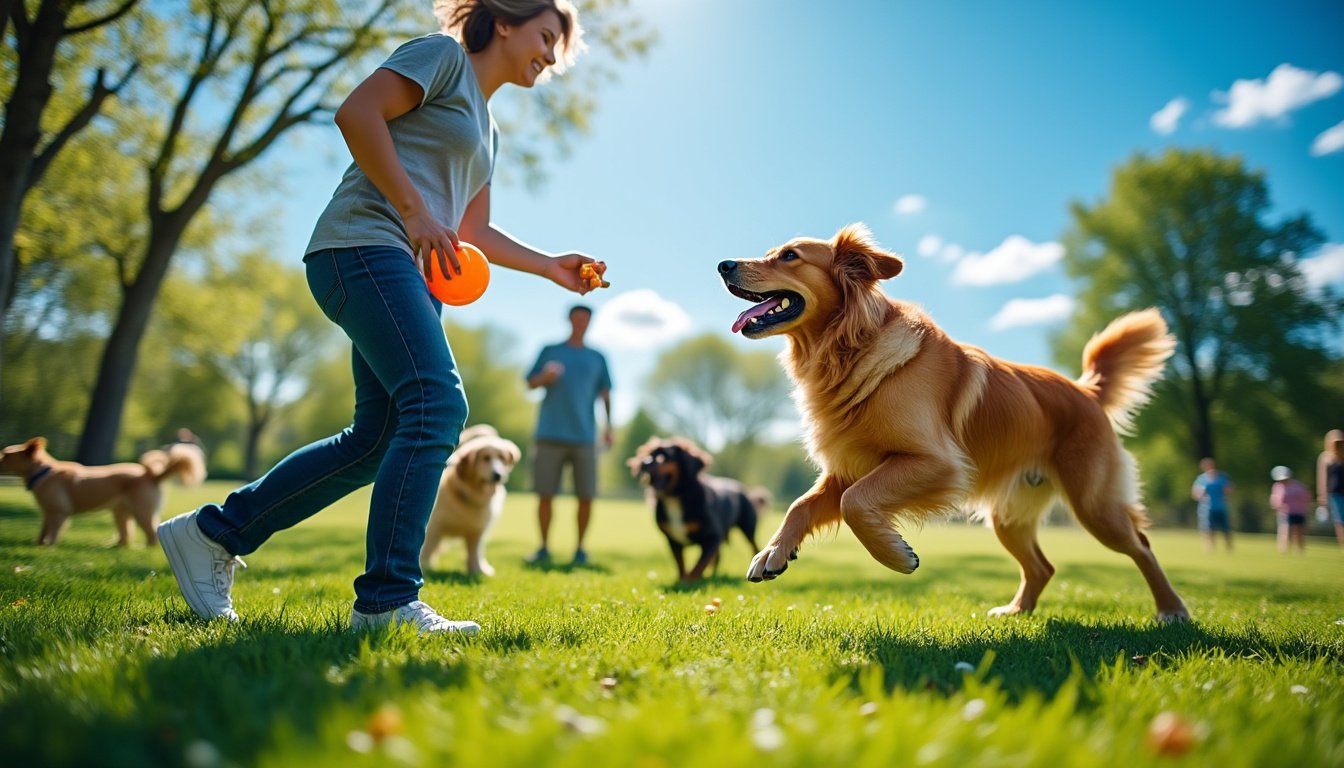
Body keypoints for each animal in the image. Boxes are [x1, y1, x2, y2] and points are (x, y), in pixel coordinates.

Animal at [0, 438, 206, 546]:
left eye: (6, 455)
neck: (44, 471)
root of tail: (151, 474)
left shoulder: (59, 512)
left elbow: (53, 531)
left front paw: (48, 546)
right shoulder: (47, 512)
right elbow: (43, 530)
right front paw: (38, 544)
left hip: (142, 512)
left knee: (151, 533)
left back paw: (147, 547)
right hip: (121, 513)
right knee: (126, 535)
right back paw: (115, 546)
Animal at [422, 427, 521, 575]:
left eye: (502, 458)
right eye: (485, 458)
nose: (498, 475)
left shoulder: (477, 530)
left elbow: (475, 552)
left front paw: (477, 570)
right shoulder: (435, 526)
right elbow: (428, 547)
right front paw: (425, 566)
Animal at [623, 438, 763, 583]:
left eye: (664, 457)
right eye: (650, 454)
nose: (644, 463)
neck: (675, 497)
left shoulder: (712, 536)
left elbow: (700, 563)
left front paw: (691, 580)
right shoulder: (673, 540)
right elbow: (680, 561)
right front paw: (682, 579)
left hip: (748, 528)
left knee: (754, 547)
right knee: (718, 557)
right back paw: (712, 574)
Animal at [720, 225, 1193, 621]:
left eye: (789, 256)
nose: (723, 265)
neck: (850, 347)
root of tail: (1087, 391)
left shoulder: (937, 463)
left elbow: (856, 502)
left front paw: (896, 555)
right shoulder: (851, 466)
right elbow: (802, 504)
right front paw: (773, 552)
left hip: (1095, 505)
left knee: (1142, 546)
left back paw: (1172, 609)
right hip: (1010, 516)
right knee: (1043, 566)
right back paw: (1016, 611)